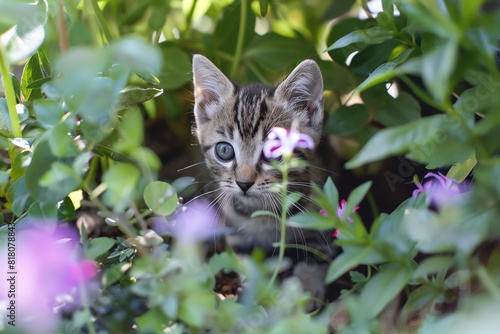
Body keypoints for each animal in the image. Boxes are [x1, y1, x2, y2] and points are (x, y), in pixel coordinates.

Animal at [193, 54, 334, 300]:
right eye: (224, 150)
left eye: (274, 151)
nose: (243, 183)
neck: (263, 214)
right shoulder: (238, 236)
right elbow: (251, 267)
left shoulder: (322, 225)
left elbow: (314, 260)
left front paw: (303, 293)